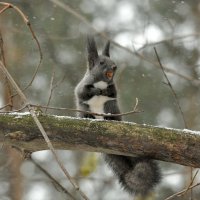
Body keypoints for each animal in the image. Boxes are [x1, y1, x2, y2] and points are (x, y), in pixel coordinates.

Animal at [74, 35, 161, 195]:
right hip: (84, 108)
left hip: (111, 106)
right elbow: (82, 92)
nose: (114, 67)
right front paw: (95, 91)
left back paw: (110, 118)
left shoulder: (113, 89)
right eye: (101, 62)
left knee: (111, 112)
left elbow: (112, 92)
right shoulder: (82, 86)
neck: (101, 83)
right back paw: (89, 117)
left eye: (112, 60)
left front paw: (105, 91)